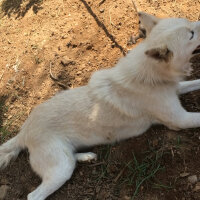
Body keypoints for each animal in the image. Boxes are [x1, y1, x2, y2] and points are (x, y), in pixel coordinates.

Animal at [0, 12, 200, 200]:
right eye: (191, 34)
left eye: (189, 22)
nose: (198, 21)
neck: (151, 76)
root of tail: (24, 131)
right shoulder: (180, 120)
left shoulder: (177, 89)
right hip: (60, 169)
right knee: (34, 195)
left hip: (64, 161)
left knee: (71, 158)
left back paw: (86, 156)